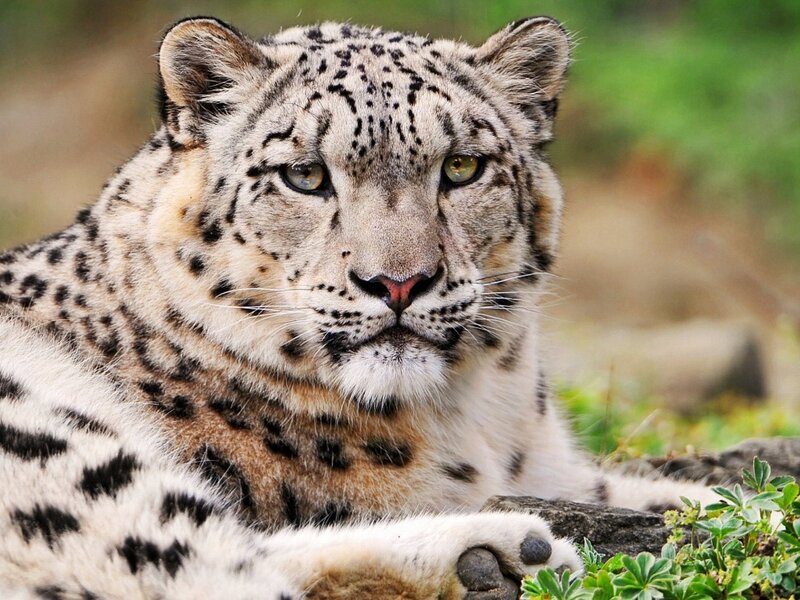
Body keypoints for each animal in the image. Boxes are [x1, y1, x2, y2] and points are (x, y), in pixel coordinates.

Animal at [0, 16, 715, 599]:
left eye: (462, 167)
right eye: (304, 175)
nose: (398, 283)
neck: (482, 418)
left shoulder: (560, 470)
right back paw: (503, 551)